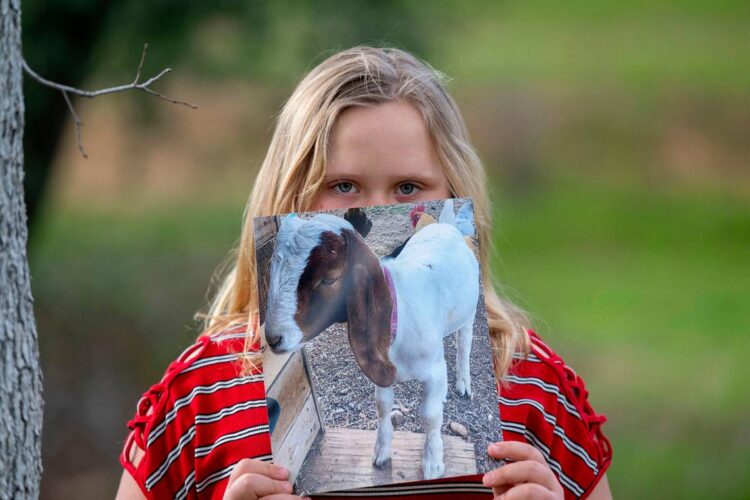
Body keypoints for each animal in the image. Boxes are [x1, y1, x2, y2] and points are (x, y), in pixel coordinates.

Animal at [263, 201, 479, 480]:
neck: (399, 310)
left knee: (464, 341)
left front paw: (433, 463)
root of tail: (447, 226)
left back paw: (463, 382)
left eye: (329, 279)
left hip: (469, 311)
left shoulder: (432, 368)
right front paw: (381, 453)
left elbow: (430, 416)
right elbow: (383, 406)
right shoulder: (379, 364)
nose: (273, 338)